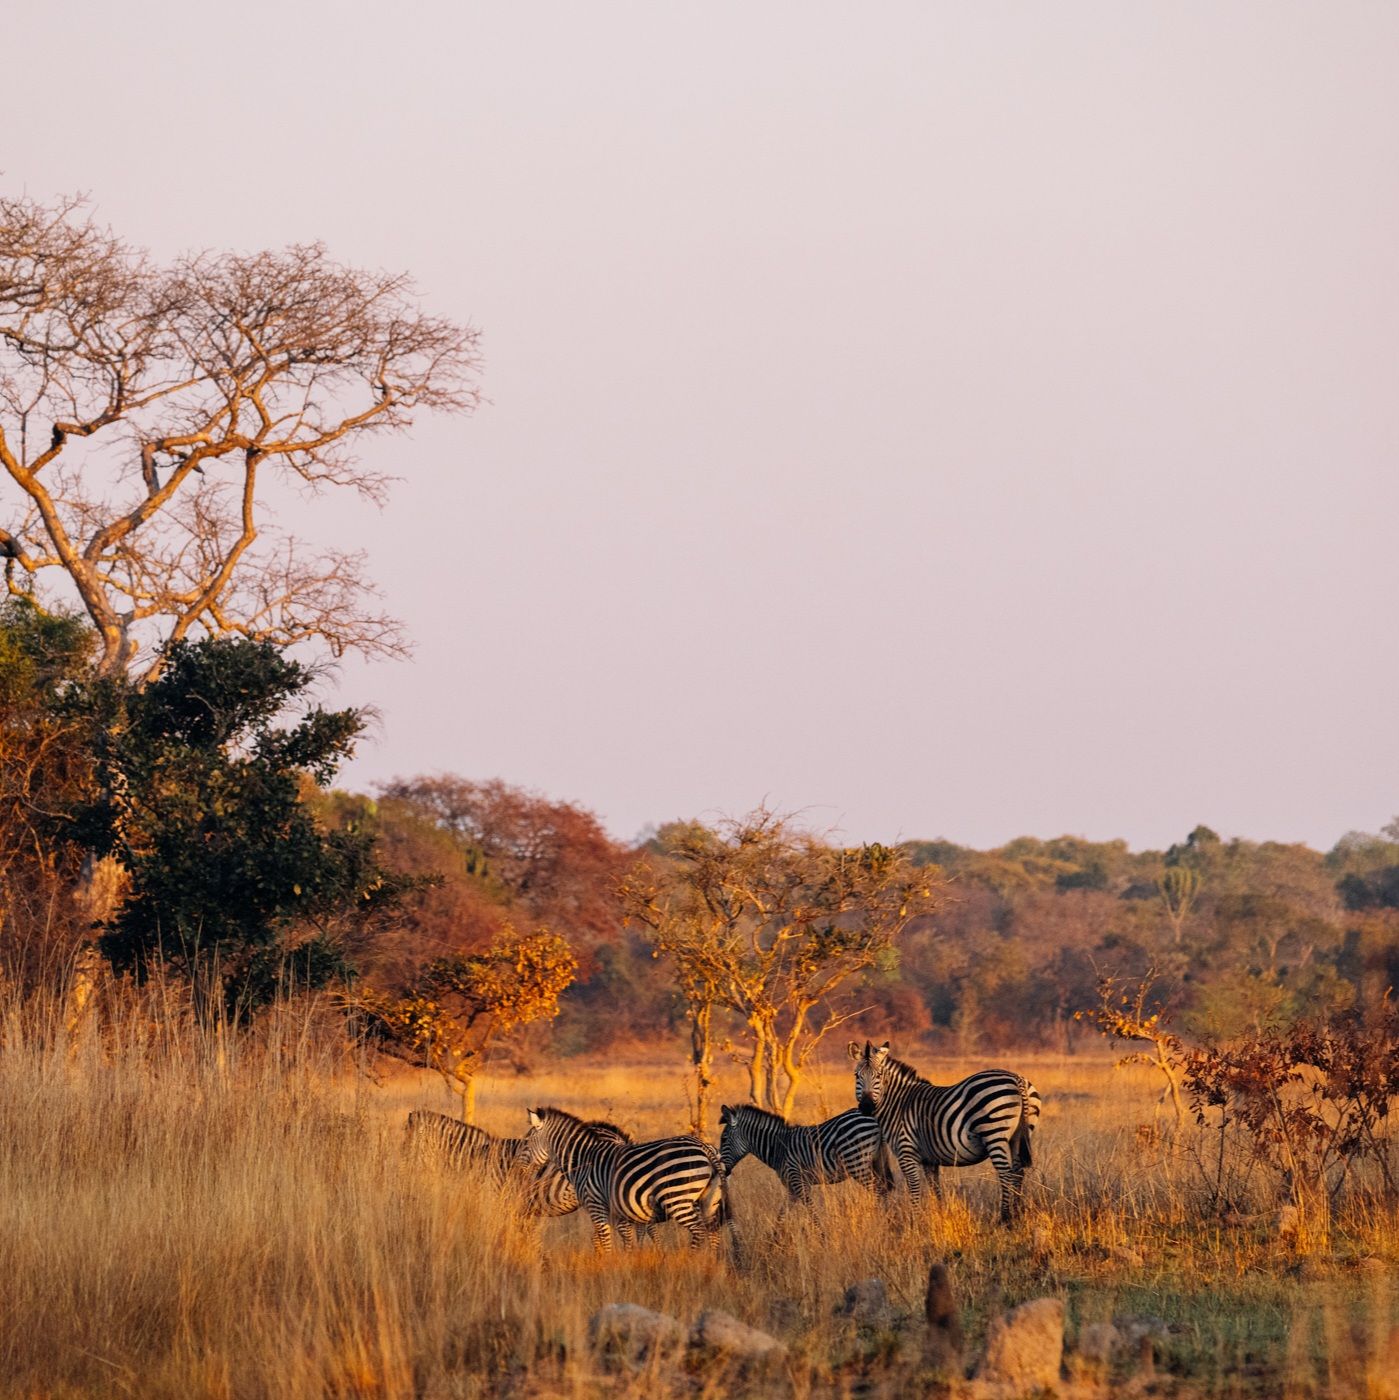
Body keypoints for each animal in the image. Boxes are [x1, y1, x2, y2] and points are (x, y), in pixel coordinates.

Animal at [515, 1108, 733, 1254]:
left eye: (526, 1143)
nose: (517, 1170)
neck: (585, 1158)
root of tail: (705, 1147)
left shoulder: (597, 1205)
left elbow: (606, 1240)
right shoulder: (619, 1211)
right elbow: (624, 1239)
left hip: (677, 1198)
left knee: (699, 1231)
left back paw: (692, 1260)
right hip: (708, 1200)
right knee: (713, 1232)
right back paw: (709, 1265)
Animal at [722, 1103, 896, 1204]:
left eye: (724, 1140)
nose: (724, 1172)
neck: (778, 1147)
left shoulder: (799, 1182)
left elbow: (812, 1212)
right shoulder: (791, 1188)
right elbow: (781, 1217)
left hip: (857, 1164)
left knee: (878, 1191)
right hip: (876, 1160)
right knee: (884, 1189)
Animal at [851, 1041, 1041, 1226]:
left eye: (879, 1075)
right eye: (856, 1076)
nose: (866, 1106)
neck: (899, 1104)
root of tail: (1016, 1078)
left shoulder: (906, 1152)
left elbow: (914, 1187)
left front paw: (915, 1221)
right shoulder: (929, 1159)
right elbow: (934, 1188)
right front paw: (939, 1214)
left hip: (994, 1133)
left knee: (1006, 1173)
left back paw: (1005, 1218)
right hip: (1018, 1137)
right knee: (1018, 1172)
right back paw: (1017, 1213)